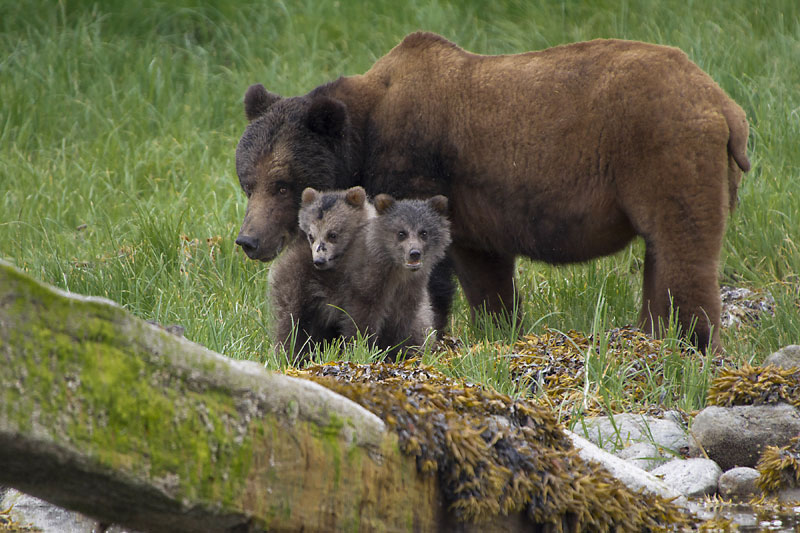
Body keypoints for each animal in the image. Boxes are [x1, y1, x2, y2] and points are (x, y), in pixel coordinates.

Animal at [236, 31, 752, 352]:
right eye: (247, 181)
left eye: (282, 183)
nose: (249, 241)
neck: (364, 140)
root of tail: (723, 102)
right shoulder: (471, 206)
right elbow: (486, 277)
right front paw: (498, 329)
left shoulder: (417, 165)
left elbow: (428, 272)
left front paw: (428, 335)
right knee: (661, 259)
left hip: (664, 153)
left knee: (681, 249)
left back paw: (694, 345)